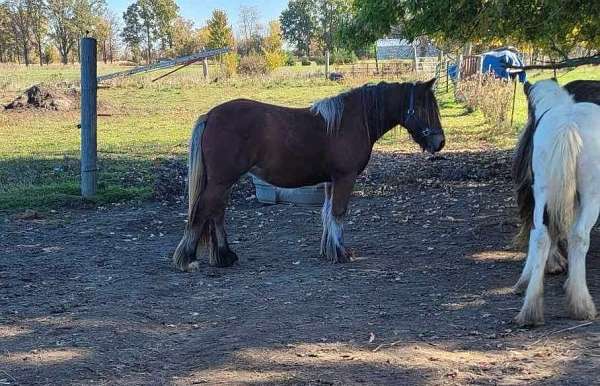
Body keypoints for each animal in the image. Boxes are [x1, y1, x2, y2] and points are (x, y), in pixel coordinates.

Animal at [171, 79, 442, 272]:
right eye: (422, 107)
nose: (439, 142)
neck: (351, 120)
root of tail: (210, 116)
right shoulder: (345, 177)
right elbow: (338, 213)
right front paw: (341, 253)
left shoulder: (331, 181)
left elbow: (328, 213)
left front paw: (329, 250)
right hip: (221, 181)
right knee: (203, 210)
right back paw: (188, 259)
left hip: (223, 182)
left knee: (217, 212)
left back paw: (225, 256)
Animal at [512, 79, 600, 326]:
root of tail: (568, 124)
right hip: (592, 195)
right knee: (579, 236)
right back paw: (581, 305)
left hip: (545, 189)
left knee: (541, 235)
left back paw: (531, 309)